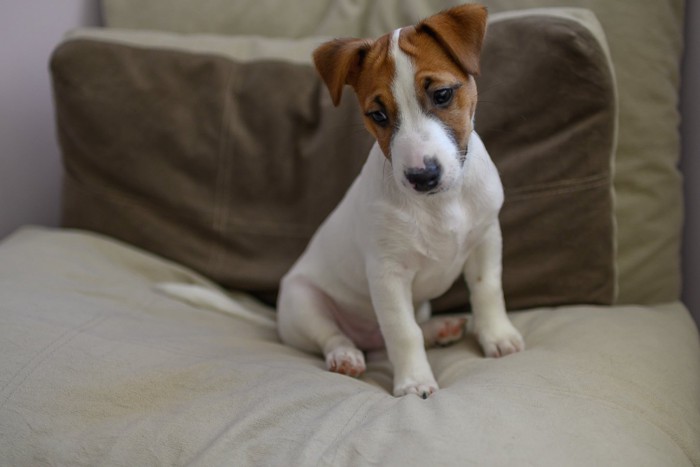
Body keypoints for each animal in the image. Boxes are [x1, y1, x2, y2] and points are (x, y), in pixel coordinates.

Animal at [156, 2, 524, 398]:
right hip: (304, 301)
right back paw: (345, 356)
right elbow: (402, 331)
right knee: (335, 336)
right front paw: (414, 381)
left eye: (442, 95)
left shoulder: (486, 239)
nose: (422, 177)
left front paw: (497, 336)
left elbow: (487, 291)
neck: (442, 204)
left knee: (402, 327)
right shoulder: (387, 273)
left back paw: (439, 329)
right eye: (378, 115)